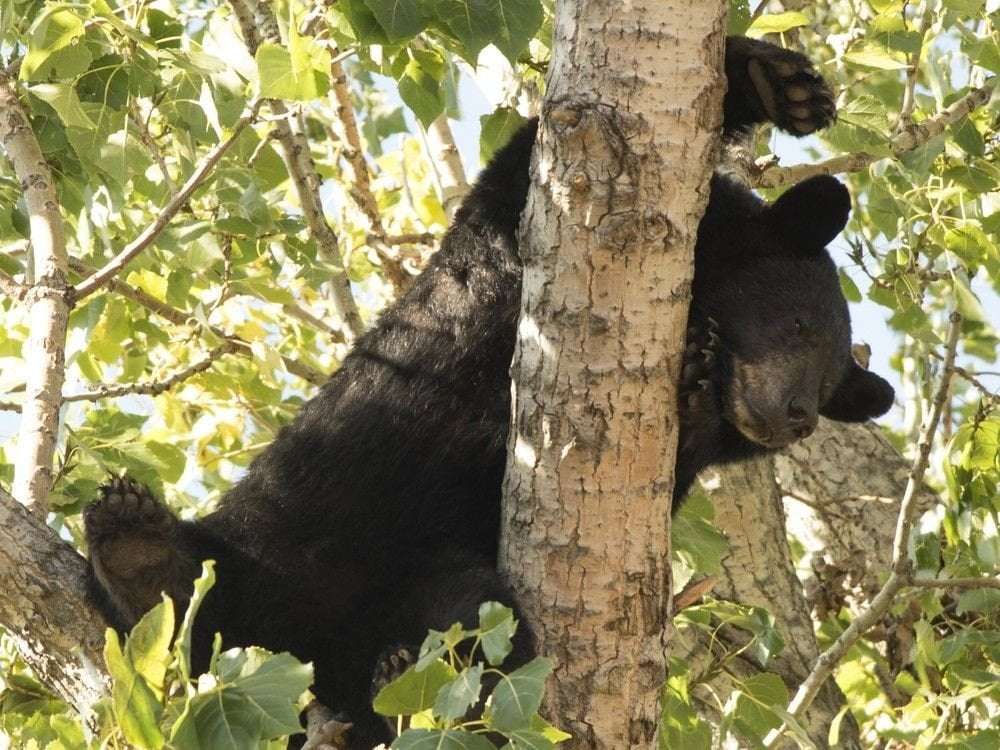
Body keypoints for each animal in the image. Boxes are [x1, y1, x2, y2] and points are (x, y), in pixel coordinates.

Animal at [83, 36, 894, 749]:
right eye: (798, 325)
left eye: (830, 386)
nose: (793, 417)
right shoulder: (515, 232)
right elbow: (540, 155)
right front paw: (780, 83)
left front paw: (696, 386)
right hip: (276, 531)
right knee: (202, 607)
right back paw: (142, 552)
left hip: (425, 581)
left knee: (471, 620)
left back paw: (400, 680)